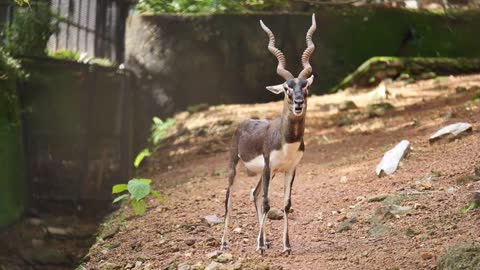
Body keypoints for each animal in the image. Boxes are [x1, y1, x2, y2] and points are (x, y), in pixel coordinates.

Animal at [222, 14, 318, 255]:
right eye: (286, 87)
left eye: (305, 86)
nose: (298, 103)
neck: (287, 141)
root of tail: (243, 123)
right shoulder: (267, 165)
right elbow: (267, 203)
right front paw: (259, 246)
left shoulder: (290, 169)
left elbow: (285, 204)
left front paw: (286, 246)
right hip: (235, 166)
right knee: (229, 198)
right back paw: (224, 243)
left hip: (269, 173)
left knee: (254, 194)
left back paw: (265, 241)